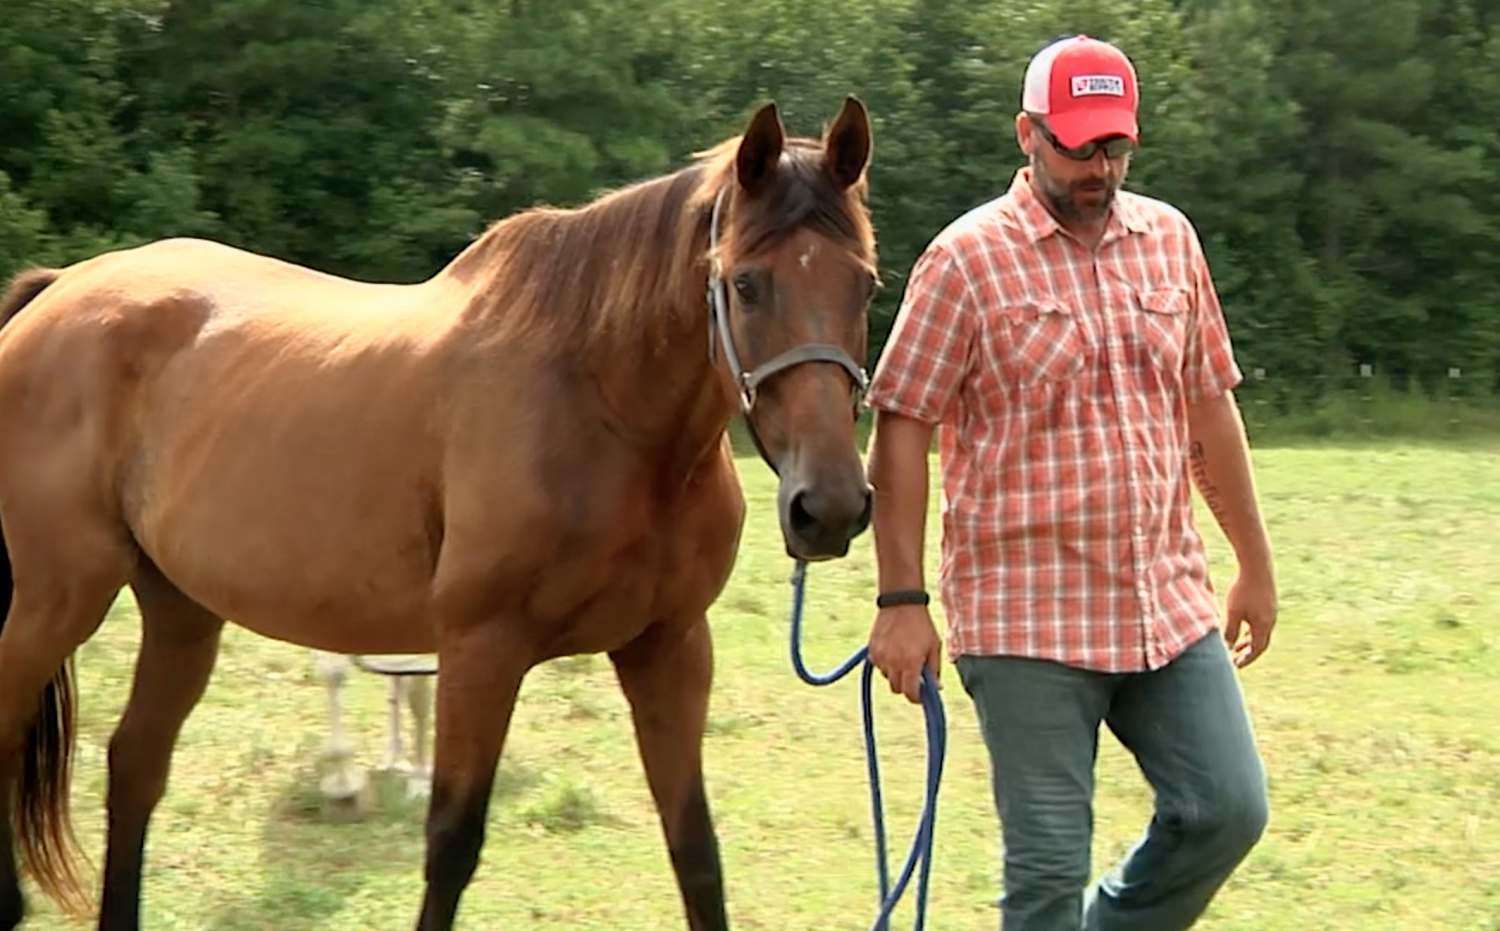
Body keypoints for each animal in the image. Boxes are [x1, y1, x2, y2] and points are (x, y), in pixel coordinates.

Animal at [0, 98, 876, 923]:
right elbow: (451, 845)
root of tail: (56, 296)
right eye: (746, 282)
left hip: (180, 610)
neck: (599, 407)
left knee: (135, 766)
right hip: (53, 604)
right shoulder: (480, 650)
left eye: (865, 284)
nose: (829, 506)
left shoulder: (669, 648)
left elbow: (695, 849)